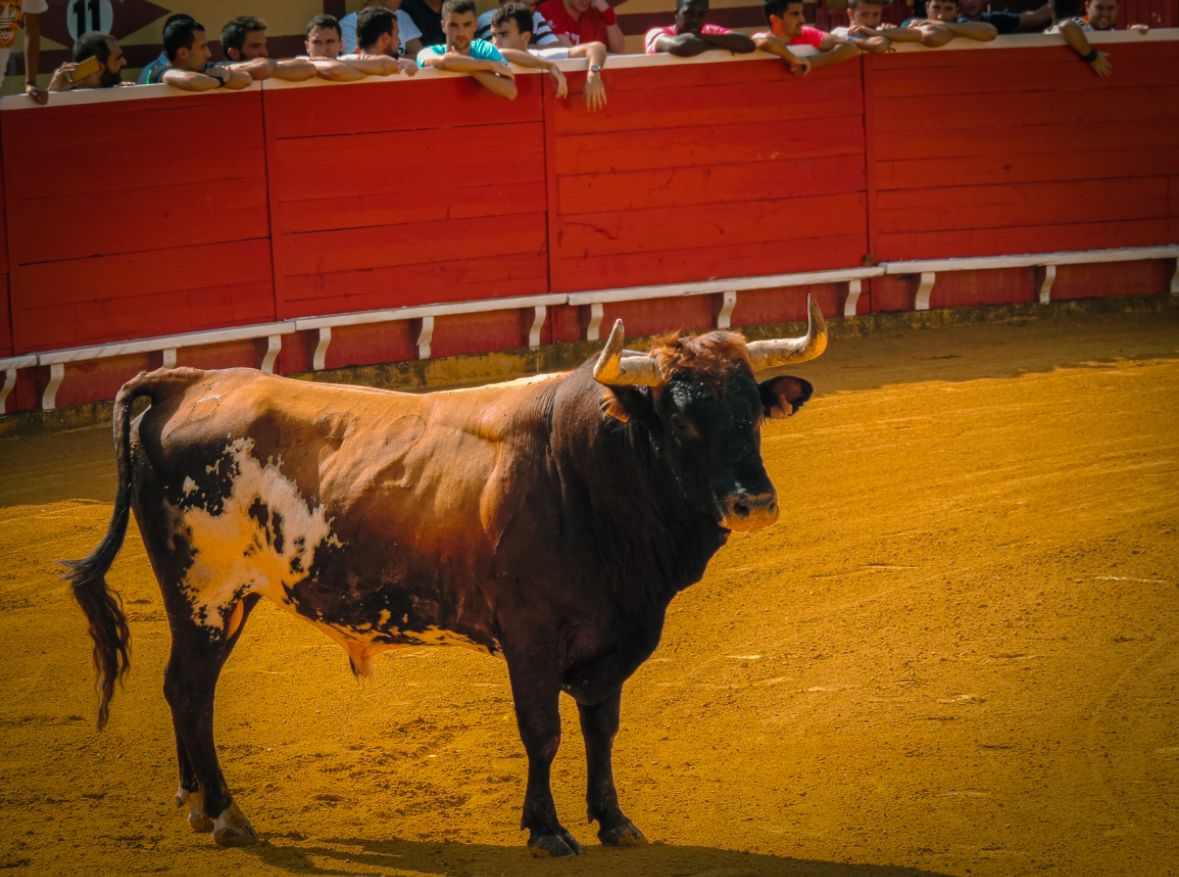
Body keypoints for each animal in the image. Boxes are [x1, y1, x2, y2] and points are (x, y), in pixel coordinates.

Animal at [68, 299, 830, 858]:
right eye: (679, 416)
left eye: (751, 408)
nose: (754, 502)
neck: (586, 471)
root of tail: (194, 380)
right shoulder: (532, 637)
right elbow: (543, 730)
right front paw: (547, 829)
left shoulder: (612, 637)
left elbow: (601, 726)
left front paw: (613, 820)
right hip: (204, 594)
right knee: (191, 692)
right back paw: (227, 815)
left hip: (220, 602)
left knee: (182, 690)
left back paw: (197, 803)